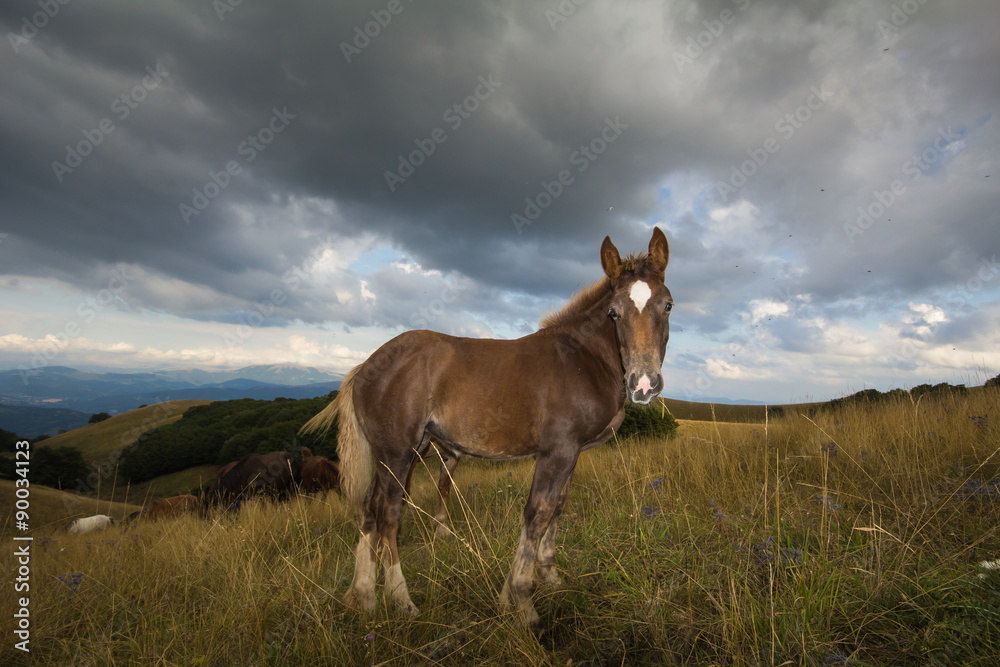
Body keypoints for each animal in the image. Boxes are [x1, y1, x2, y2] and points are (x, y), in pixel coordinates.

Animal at [296, 230, 672, 628]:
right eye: (614, 312)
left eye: (668, 305)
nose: (643, 384)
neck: (584, 357)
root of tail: (364, 367)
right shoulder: (557, 451)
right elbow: (537, 513)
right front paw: (521, 601)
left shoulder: (573, 454)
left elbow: (556, 508)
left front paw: (550, 579)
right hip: (397, 454)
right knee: (388, 515)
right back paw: (401, 601)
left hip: (397, 455)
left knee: (369, 511)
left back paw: (364, 597)